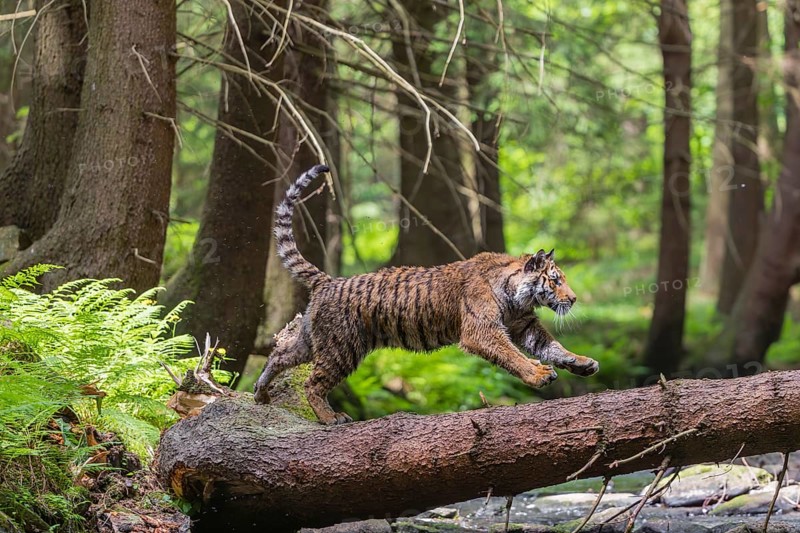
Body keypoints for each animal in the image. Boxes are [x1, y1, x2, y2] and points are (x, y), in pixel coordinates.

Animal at [254, 164, 599, 424]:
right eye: (555, 280)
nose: (573, 299)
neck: (518, 296)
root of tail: (327, 281)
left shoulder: (524, 325)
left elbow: (553, 346)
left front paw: (582, 362)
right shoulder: (481, 331)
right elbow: (512, 355)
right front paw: (537, 374)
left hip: (315, 341)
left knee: (280, 354)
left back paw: (261, 392)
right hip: (342, 347)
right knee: (312, 382)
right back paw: (330, 418)